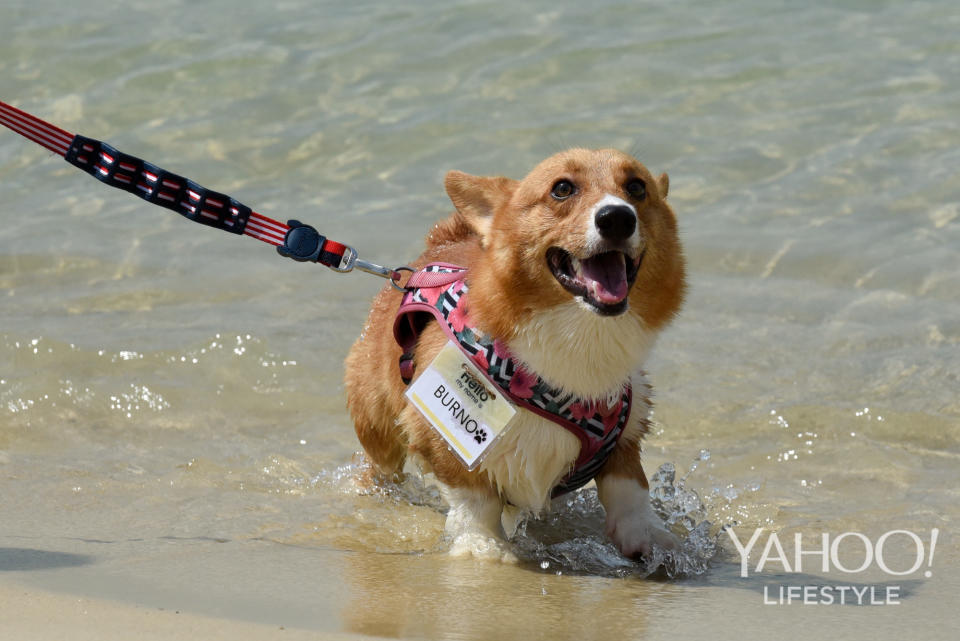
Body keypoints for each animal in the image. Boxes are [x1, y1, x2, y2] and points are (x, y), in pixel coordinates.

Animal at [344, 150, 684, 560]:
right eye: (562, 188)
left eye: (636, 187)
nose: (617, 217)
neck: (578, 340)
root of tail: (439, 246)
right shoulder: (442, 432)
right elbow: (475, 498)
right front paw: (483, 546)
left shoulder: (627, 430)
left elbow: (629, 490)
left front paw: (650, 537)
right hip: (377, 427)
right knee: (379, 467)